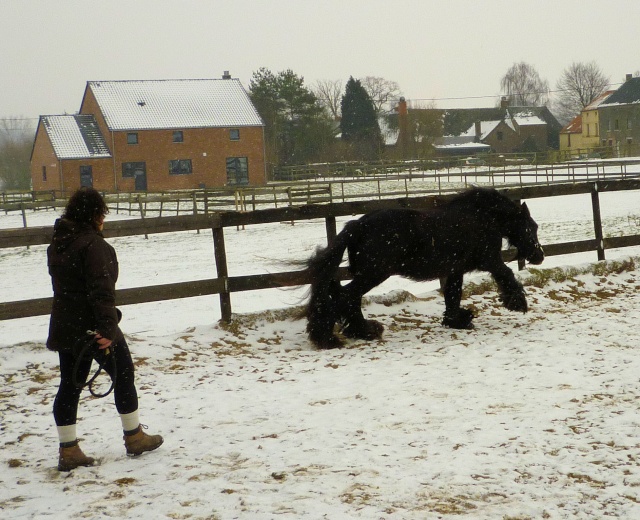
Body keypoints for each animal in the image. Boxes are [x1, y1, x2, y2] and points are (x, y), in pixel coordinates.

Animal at [304, 187, 544, 350]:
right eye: (530, 227)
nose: (539, 256)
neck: (482, 217)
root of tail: (357, 225)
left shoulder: (455, 269)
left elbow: (453, 294)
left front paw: (457, 320)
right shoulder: (490, 260)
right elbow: (507, 274)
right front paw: (518, 304)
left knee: (348, 297)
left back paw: (362, 331)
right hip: (374, 273)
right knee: (346, 296)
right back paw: (333, 337)